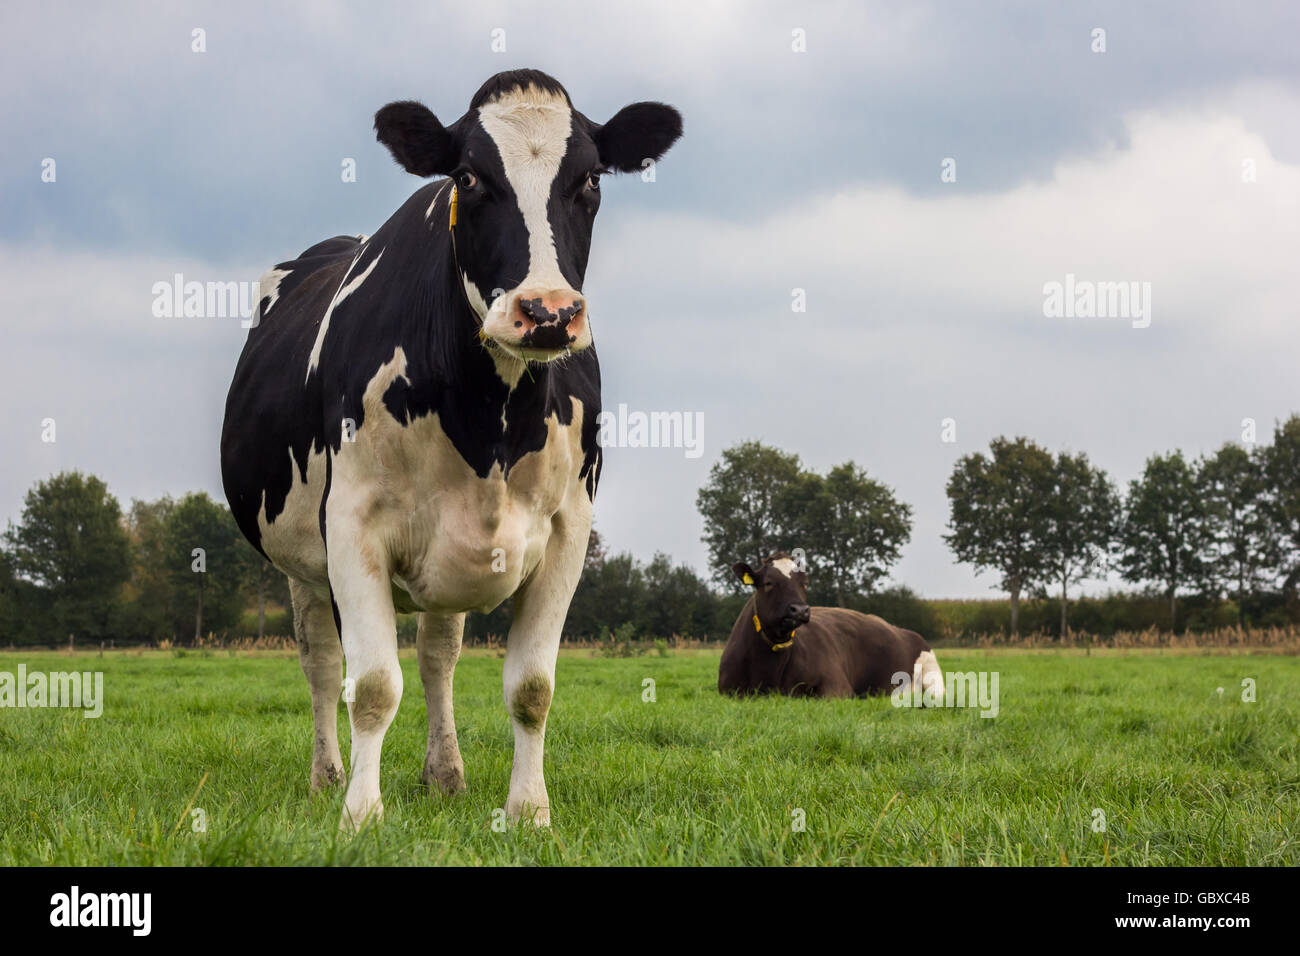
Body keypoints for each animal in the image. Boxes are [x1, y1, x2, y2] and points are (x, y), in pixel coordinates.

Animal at [222, 70, 686, 827]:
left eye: (590, 179)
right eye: (468, 177)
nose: (548, 312)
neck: (489, 420)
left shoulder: (568, 529)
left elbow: (531, 687)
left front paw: (529, 812)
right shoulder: (350, 526)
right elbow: (371, 687)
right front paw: (360, 815)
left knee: (437, 656)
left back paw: (446, 773)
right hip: (301, 561)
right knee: (321, 663)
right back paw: (327, 777)